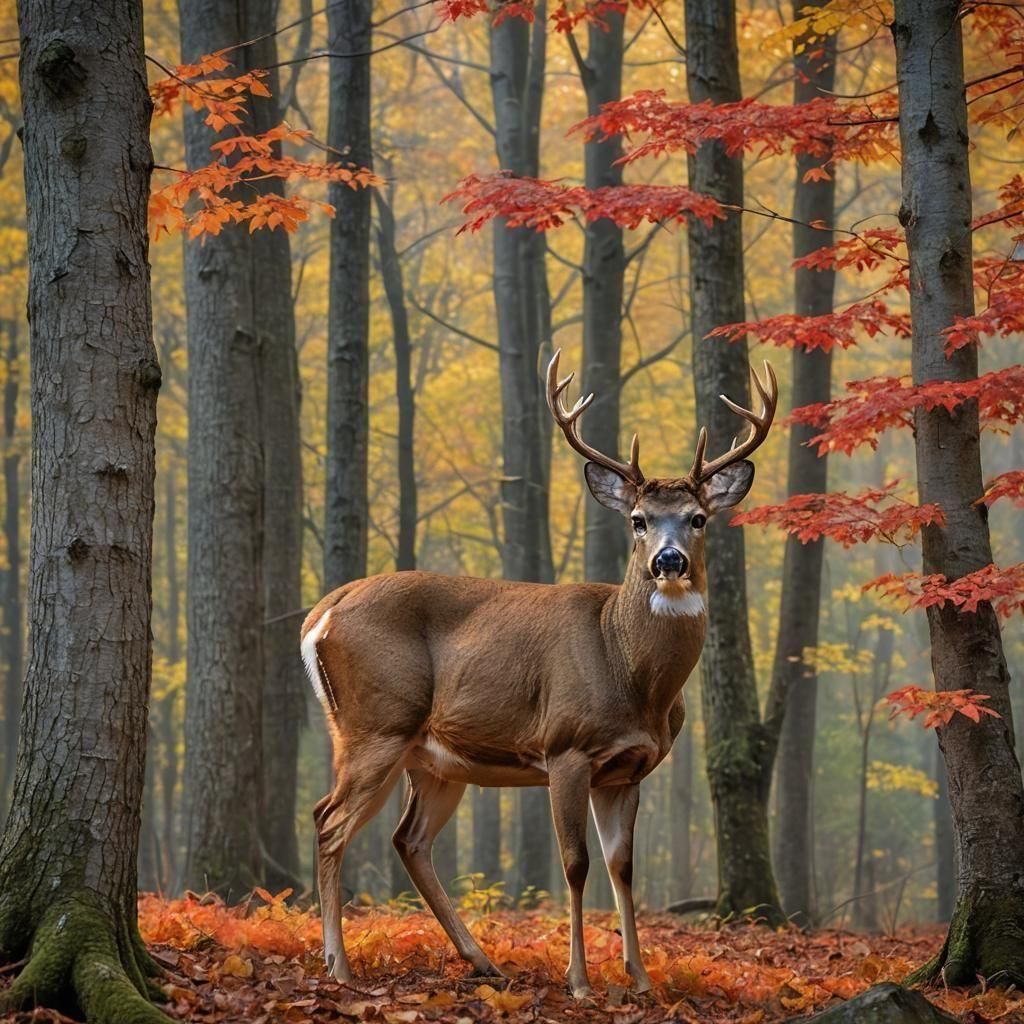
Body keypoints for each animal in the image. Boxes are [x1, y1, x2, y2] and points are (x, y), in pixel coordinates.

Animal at [302, 350, 777, 999]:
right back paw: (340, 966)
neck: (631, 673)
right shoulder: (565, 747)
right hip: (375, 723)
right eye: (638, 519)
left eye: (698, 518)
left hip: (435, 758)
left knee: (409, 839)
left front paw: (640, 977)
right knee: (329, 820)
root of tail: (322, 612)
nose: (668, 560)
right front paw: (579, 980)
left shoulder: (629, 768)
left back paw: (483, 962)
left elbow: (622, 865)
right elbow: (575, 864)